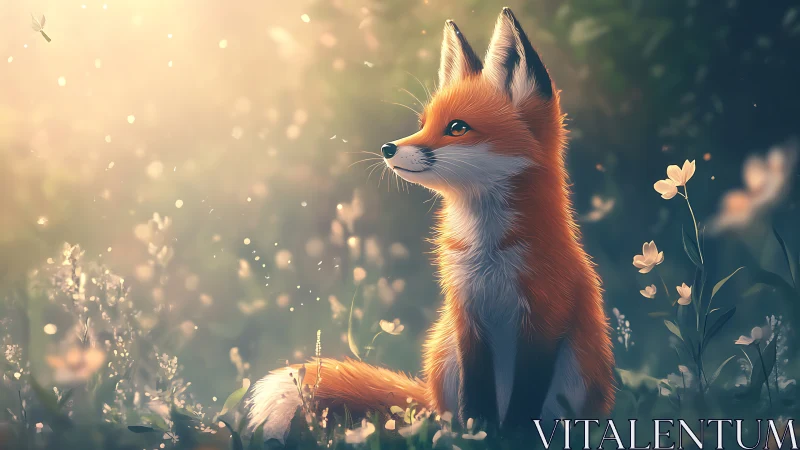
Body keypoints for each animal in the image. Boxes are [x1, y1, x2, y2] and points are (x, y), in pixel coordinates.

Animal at [247, 7, 615, 441]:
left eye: (457, 127)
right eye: (423, 123)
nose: (388, 148)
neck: (488, 254)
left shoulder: (543, 320)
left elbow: (524, 402)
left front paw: (510, 437)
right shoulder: (467, 315)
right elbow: (477, 400)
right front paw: (479, 435)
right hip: (445, 351)